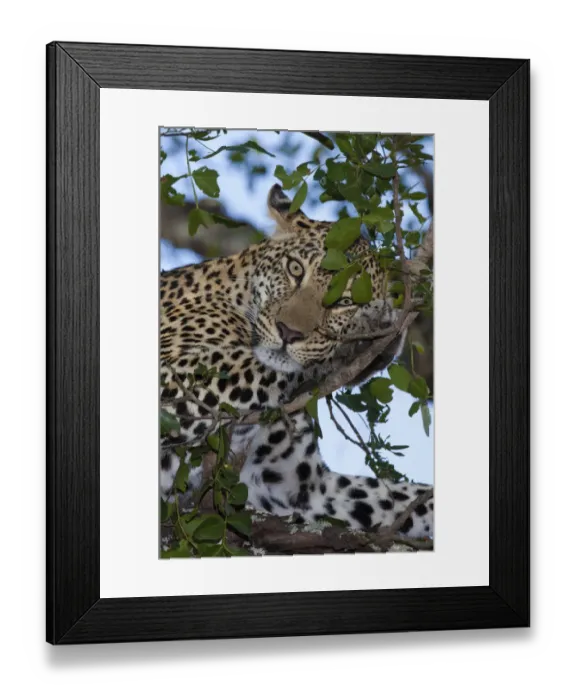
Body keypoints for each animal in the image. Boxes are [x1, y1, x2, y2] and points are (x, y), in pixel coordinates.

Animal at [160, 184, 434, 540]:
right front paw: (361, 340)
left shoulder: (305, 487)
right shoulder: (173, 375)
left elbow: (398, 495)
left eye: (344, 302)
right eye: (294, 269)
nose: (288, 332)